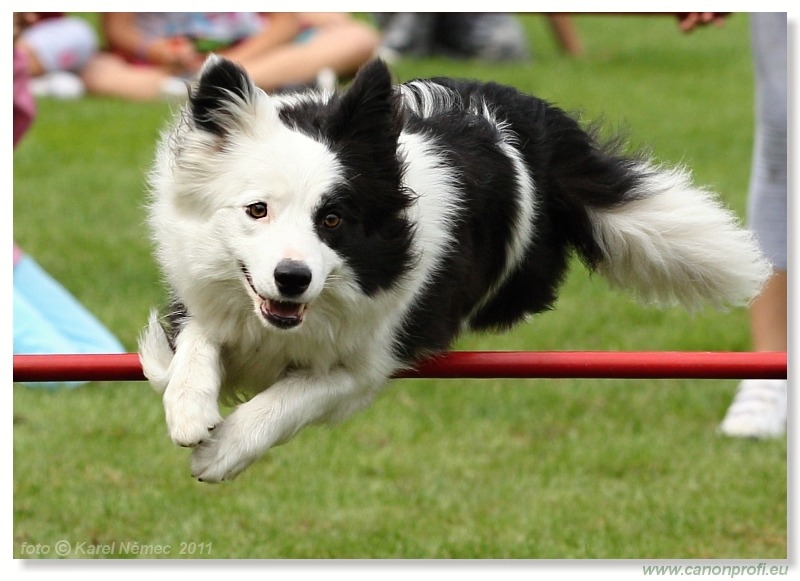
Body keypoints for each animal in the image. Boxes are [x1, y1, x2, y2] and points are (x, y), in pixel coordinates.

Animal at [139, 55, 776, 480]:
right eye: (257, 210)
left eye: (334, 219)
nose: (293, 278)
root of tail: (531, 116)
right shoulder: (205, 293)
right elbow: (195, 344)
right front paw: (189, 408)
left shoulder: (368, 360)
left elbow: (288, 399)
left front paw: (222, 450)